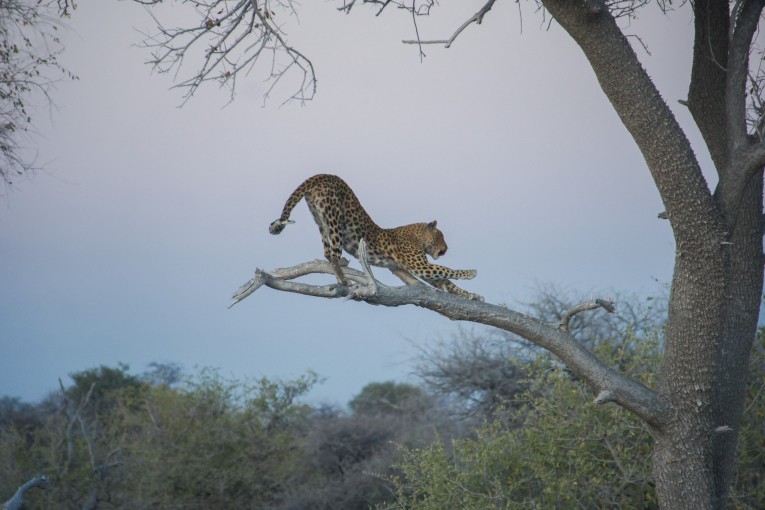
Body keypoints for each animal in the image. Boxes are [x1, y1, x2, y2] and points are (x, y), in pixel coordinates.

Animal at [268, 173, 480, 300]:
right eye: (441, 237)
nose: (446, 249)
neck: (416, 236)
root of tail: (322, 175)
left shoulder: (411, 267)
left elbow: (446, 282)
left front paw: (472, 295)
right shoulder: (420, 265)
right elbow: (446, 270)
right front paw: (471, 273)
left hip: (321, 221)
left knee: (327, 252)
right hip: (334, 219)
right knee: (333, 253)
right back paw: (343, 279)